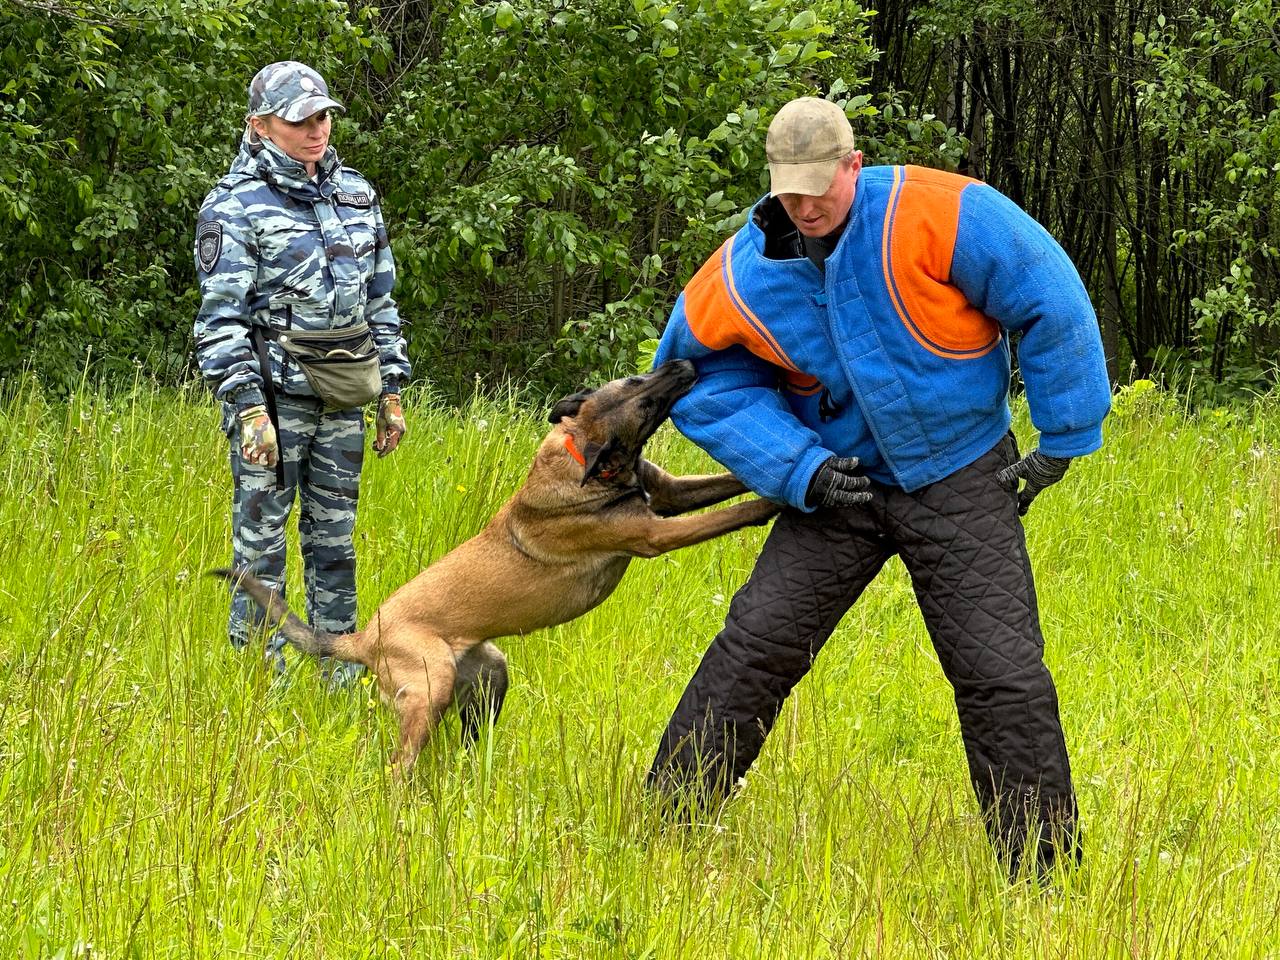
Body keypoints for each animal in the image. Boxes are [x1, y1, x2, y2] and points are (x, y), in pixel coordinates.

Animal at [209, 360, 773, 773]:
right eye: (644, 394)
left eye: (639, 381)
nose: (685, 364)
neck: (585, 456)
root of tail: (362, 639)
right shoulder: (654, 534)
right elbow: (728, 514)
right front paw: (773, 505)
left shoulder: (671, 491)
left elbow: (728, 482)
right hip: (430, 684)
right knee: (399, 765)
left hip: (490, 673)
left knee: (466, 736)